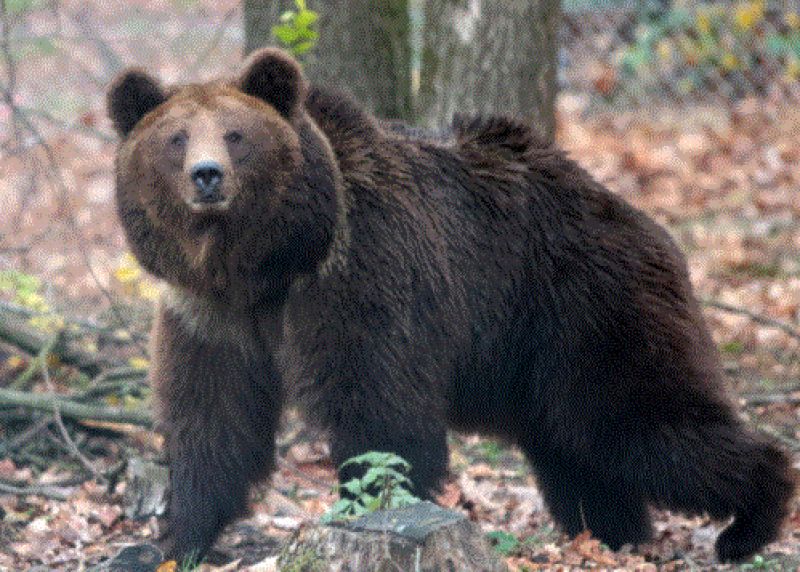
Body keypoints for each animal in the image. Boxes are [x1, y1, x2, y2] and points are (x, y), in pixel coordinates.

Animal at [107, 47, 795, 563]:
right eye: (175, 138)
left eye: (236, 135)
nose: (207, 175)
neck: (266, 266)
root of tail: (643, 222)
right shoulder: (209, 317)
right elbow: (213, 422)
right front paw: (174, 539)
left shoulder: (361, 278)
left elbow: (381, 415)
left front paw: (362, 506)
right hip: (541, 363)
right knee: (578, 449)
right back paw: (611, 532)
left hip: (588, 310)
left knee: (640, 420)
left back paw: (749, 520)